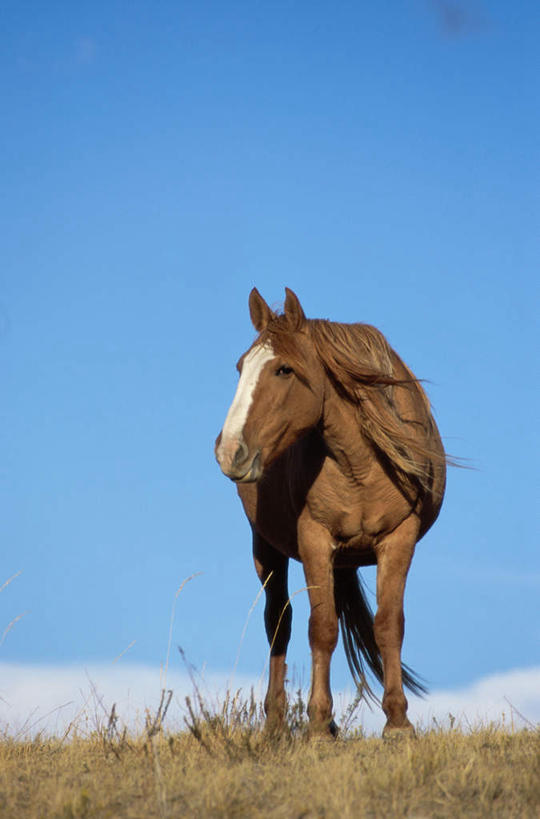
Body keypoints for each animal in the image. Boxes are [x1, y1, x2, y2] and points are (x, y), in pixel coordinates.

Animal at [215, 286, 448, 736]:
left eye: (284, 369)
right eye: (239, 368)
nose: (229, 450)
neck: (359, 462)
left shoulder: (398, 538)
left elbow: (388, 625)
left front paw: (397, 723)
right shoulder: (314, 539)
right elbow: (320, 629)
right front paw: (319, 724)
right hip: (267, 550)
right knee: (279, 624)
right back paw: (276, 723)